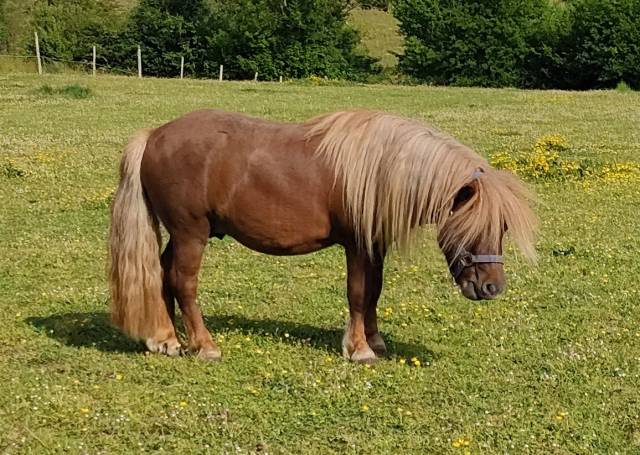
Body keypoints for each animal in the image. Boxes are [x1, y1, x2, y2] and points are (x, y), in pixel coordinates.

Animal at [108, 109, 537, 363]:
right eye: (473, 227)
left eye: (502, 228)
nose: (492, 288)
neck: (381, 168)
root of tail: (154, 136)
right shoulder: (358, 245)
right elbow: (359, 294)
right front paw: (360, 349)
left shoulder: (373, 245)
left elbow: (374, 292)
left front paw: (373, 340)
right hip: (191, 234)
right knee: (183, 282)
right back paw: (204, 345)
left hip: (180, 236)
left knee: (161, 275)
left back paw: (166, 338)